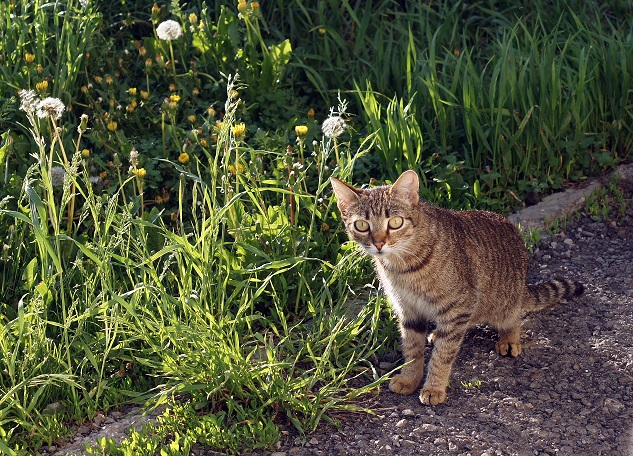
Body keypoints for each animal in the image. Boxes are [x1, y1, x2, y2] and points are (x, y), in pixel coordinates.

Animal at [330, 171, 584, 406]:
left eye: (395, 222)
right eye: (361, 225)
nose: (379, 243)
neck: (401, 267)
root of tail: (522, 284)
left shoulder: (458, 305)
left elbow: (443, 355)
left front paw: (433, 387)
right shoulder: (407, 309)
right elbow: (412, 349)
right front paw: (410, 378)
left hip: (502, 304)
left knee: (513, 320)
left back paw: (509, 339)